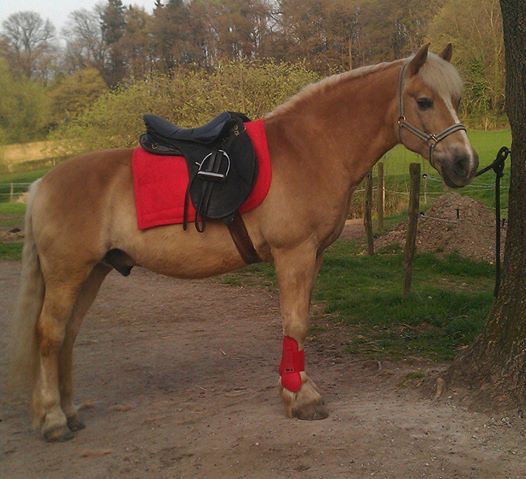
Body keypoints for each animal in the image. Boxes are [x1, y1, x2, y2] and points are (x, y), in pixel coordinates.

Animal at [9, 44, 478, 442]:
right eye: (424, 101)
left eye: (456, 97)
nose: (464, 163)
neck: (311, 148)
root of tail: (41, 185)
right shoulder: (294, 254)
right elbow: (295, 323)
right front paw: (301, 397)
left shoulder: (314, 256)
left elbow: (301, 321)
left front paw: (296, 389)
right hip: (69, 273)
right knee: (50, 334)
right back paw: (53, 420)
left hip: (94, 272)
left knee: (67, 336)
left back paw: (68, 412)